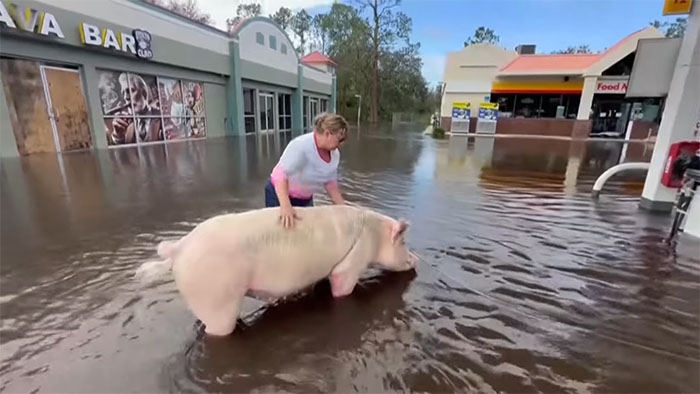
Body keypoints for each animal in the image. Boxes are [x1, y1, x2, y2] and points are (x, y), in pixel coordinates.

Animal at [139, 205, 418, 338]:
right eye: (403, 241)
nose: (416, 259)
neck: (375, 234)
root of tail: (178, 249)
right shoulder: (351, 264)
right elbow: (342, 285)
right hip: (217, 300)